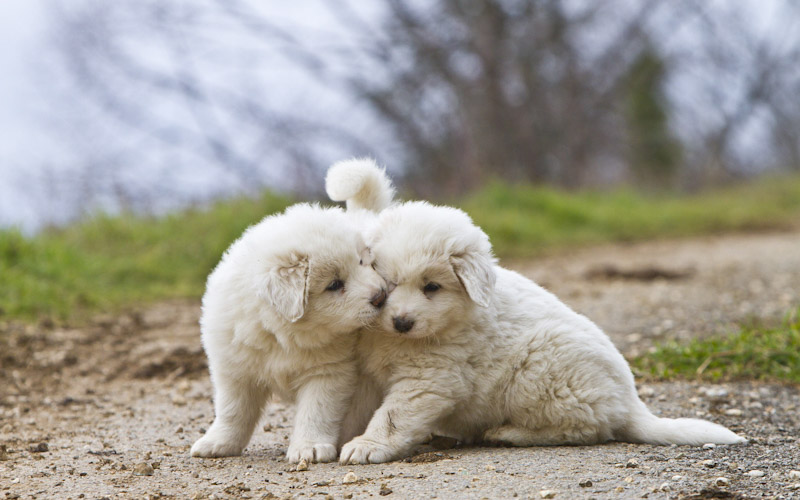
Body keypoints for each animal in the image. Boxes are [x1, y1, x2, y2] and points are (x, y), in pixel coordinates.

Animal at [188, 202, 388, 460]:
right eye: (334, 285)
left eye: (363, 262)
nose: (381, 296)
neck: (282, 334)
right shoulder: (234, 370)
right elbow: (232, 410)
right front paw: (218, 442)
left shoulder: (328, 372)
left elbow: (316, 411)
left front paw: (309, 447)